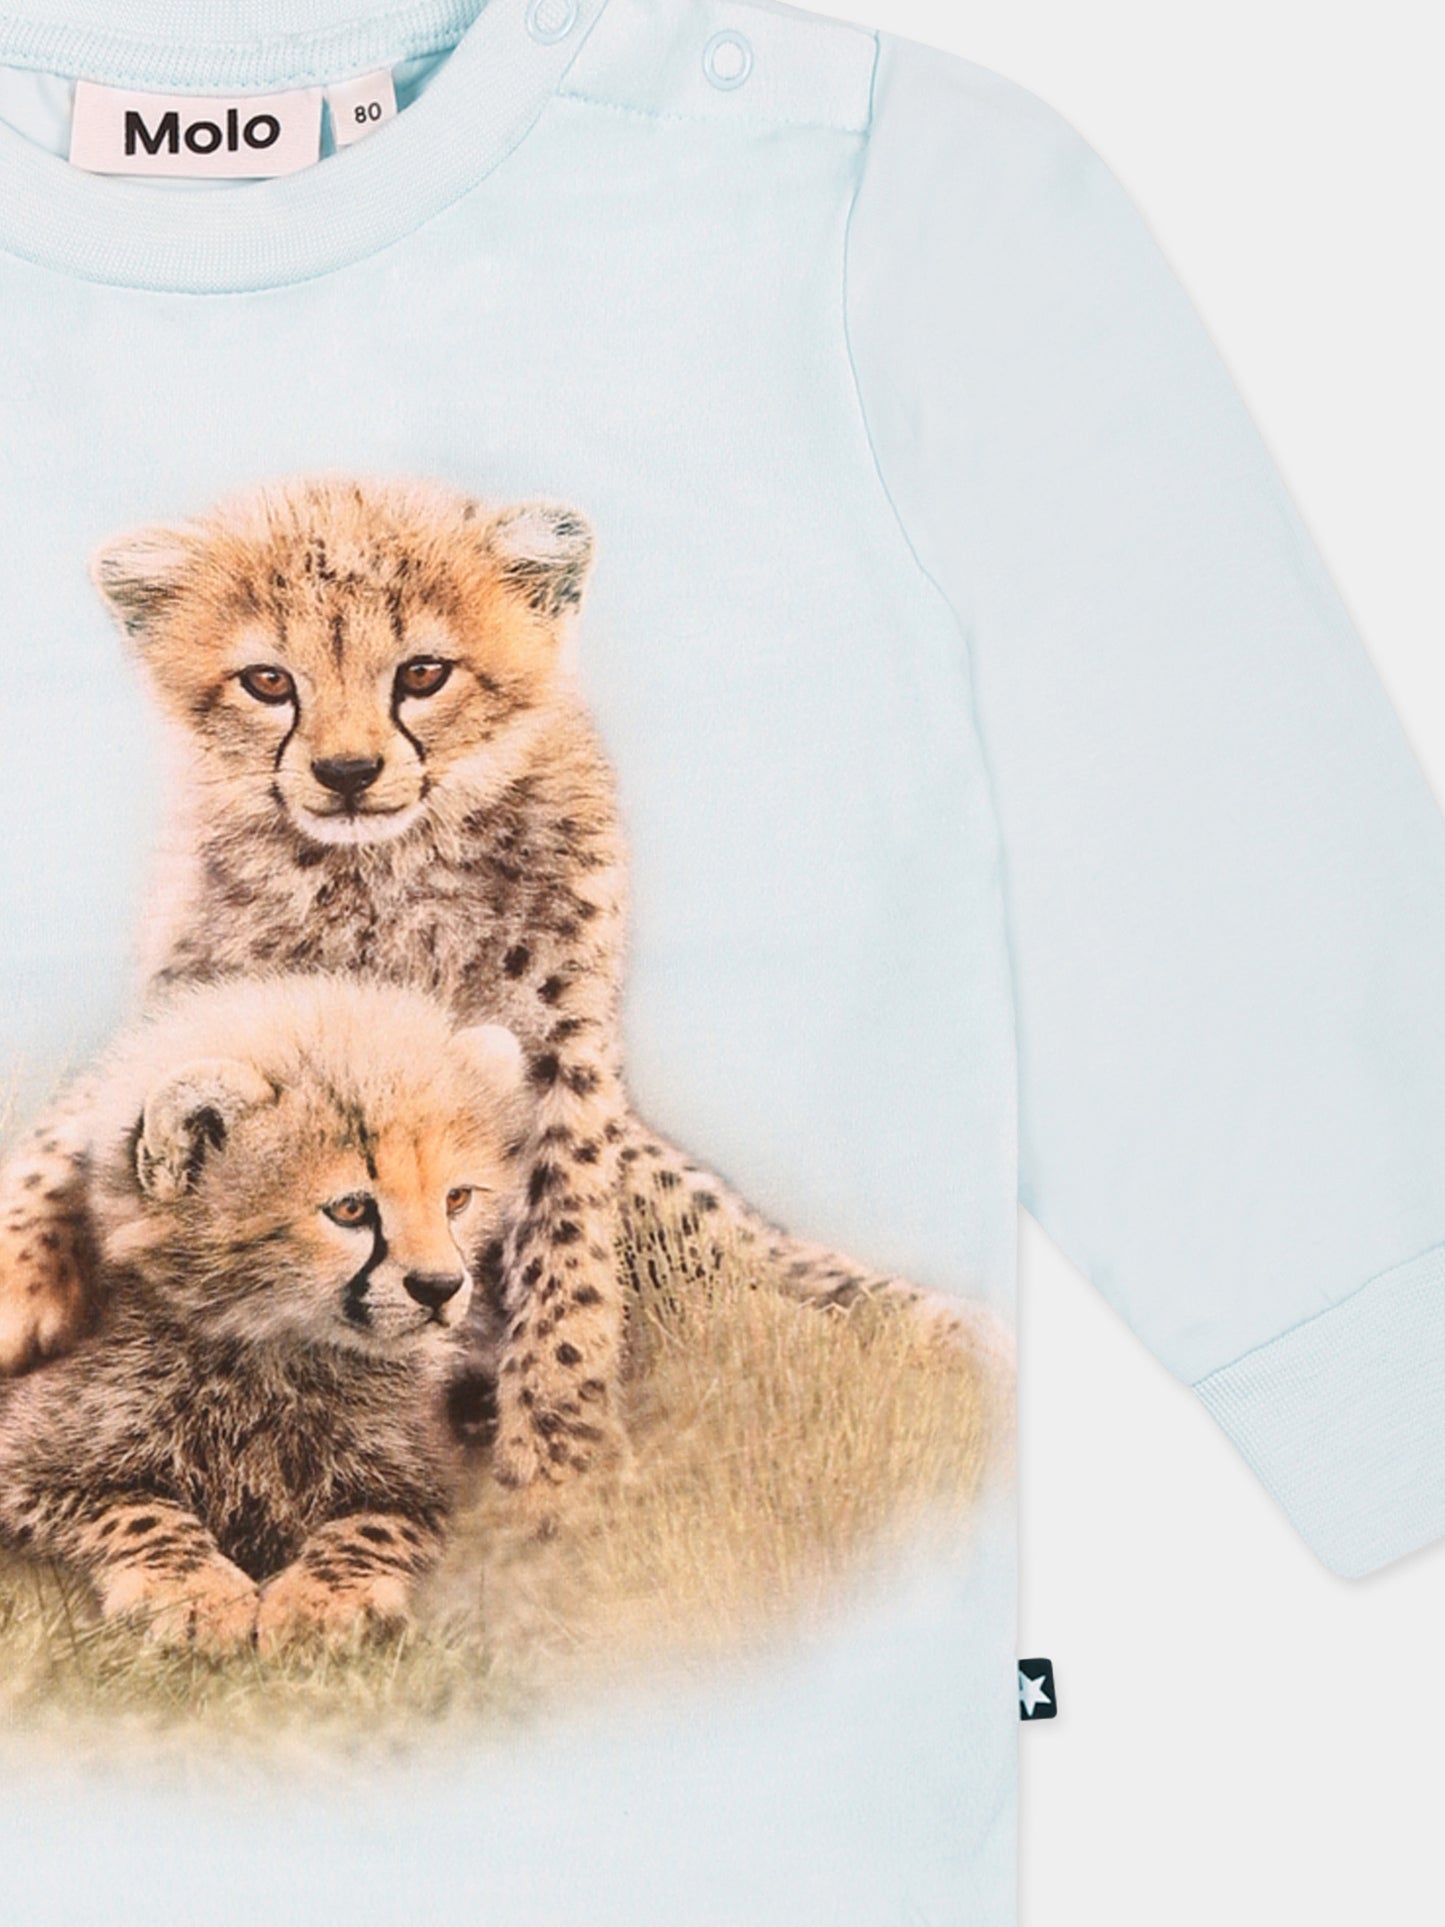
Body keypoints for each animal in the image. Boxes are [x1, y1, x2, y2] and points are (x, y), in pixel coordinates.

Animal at [0, 475, 1007, 1498]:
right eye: (269, 681)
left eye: (422, 673)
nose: (347, 772)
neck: (386, 870)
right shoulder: (193, 1003)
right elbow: (69, 1129)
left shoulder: (562, 1054)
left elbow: (569, 1246)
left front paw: (565, 1459)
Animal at [0, 973, 531, 1654]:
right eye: (352, 1209)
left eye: (457, 1199)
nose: (441, 1287)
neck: (274, 1354)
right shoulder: (29, 1453)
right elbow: (134, 1506)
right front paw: (197, 1592)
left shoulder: (430, 1481)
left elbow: (375, 1526)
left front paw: (320, 1603)